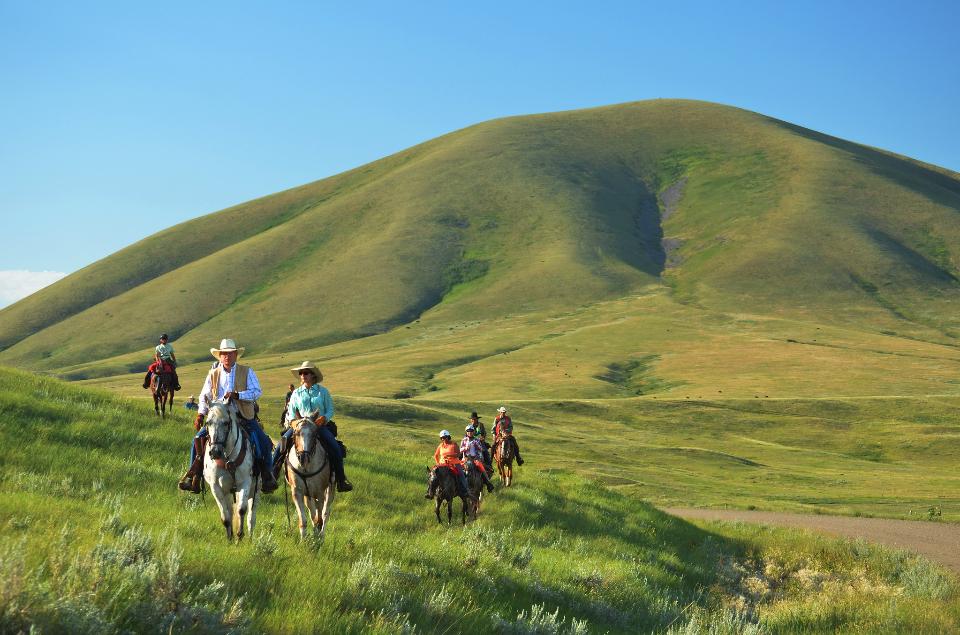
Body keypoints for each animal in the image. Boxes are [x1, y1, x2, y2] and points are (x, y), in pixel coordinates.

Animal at [204, 402, 258, 540]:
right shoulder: (216, 487)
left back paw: (250, 537)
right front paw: (229, 538)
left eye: (226, 423)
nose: (215, 452)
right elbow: (225, 516)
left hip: (255, 490)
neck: (228, 459)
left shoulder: (245, 483)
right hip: (228, 491)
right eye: (208, 422)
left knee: (251, 515)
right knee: (230, 509)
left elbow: (241, 510)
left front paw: (239, 535)